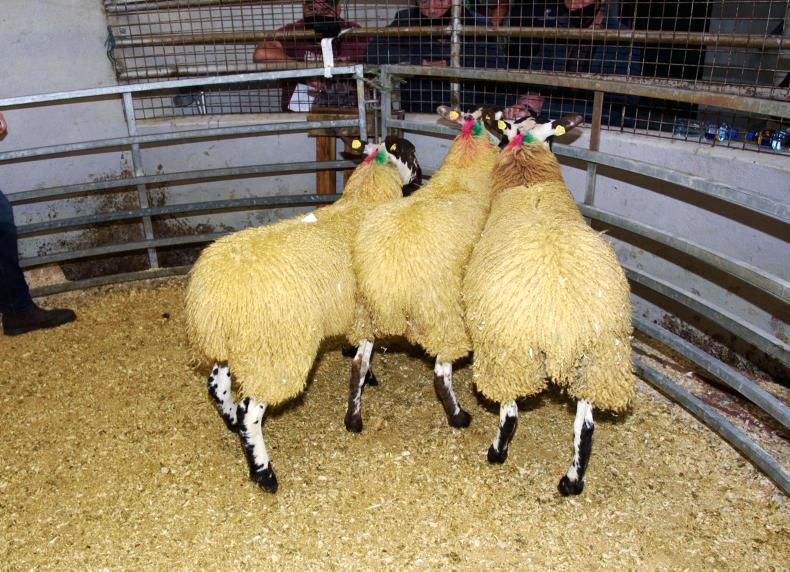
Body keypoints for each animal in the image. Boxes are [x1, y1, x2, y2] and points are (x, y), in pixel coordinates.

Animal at [185, 138, 421, 492]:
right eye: (411, 152)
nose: (420, 176)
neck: (363, 202)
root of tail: (212, 296)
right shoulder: (366, 311)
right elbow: (361, 363)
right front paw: (356, 415)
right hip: (275, 352)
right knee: (249, 412)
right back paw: (264, 472)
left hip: (237, 345)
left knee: (216, 385)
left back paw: (229, 423)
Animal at [346, 107, 501, 433]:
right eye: (491, 121)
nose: (418, 176)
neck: (461, 175)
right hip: (441, 313)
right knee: (441, 373)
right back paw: (459, 416)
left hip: (366, 314)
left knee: (357, 366)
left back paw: (353, 419)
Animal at [462, 116, 634, 496]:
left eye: (503, 136)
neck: (528, 180)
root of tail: (564, 328)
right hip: (599, 358)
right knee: (586, 428)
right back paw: (571, 481)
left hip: (509, 354)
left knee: (510, 415)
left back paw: (496, 453)